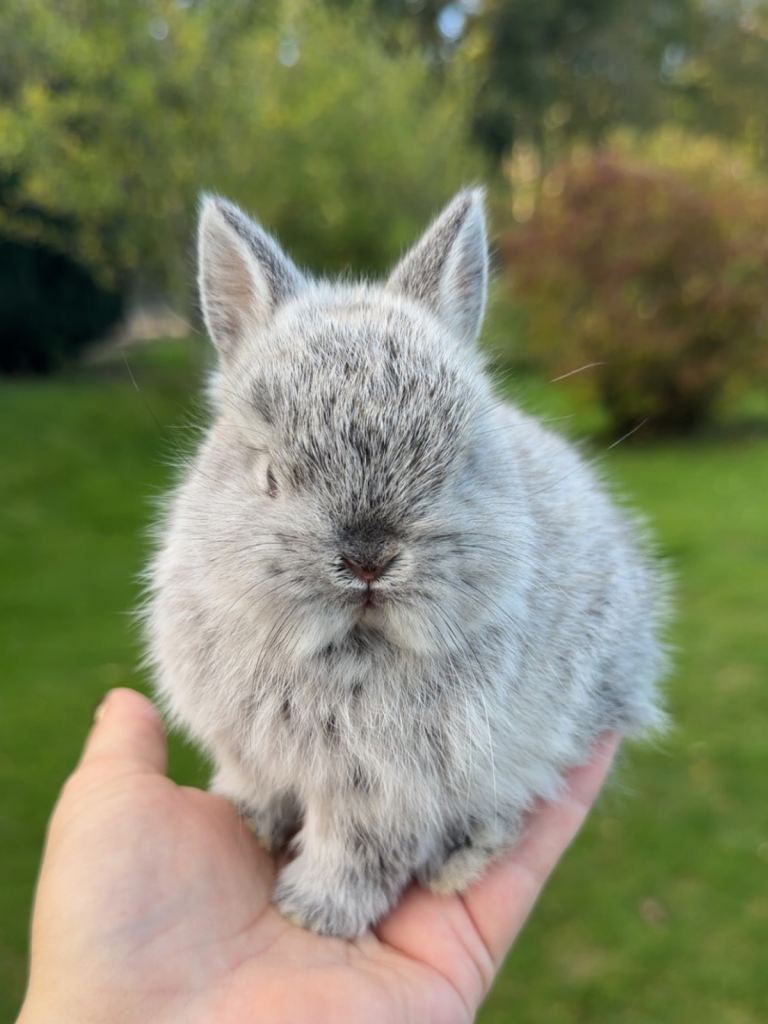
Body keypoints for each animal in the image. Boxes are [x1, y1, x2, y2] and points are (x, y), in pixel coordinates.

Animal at [145, 187, 668, 938]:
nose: (368, 557)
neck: (352, 649)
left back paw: (459, 865)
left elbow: (360, 851)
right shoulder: (250, 753)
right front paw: (250, 823)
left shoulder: (390, 794)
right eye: (270, 477)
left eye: (457, 467)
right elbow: (257, 786)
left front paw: (313, 912)